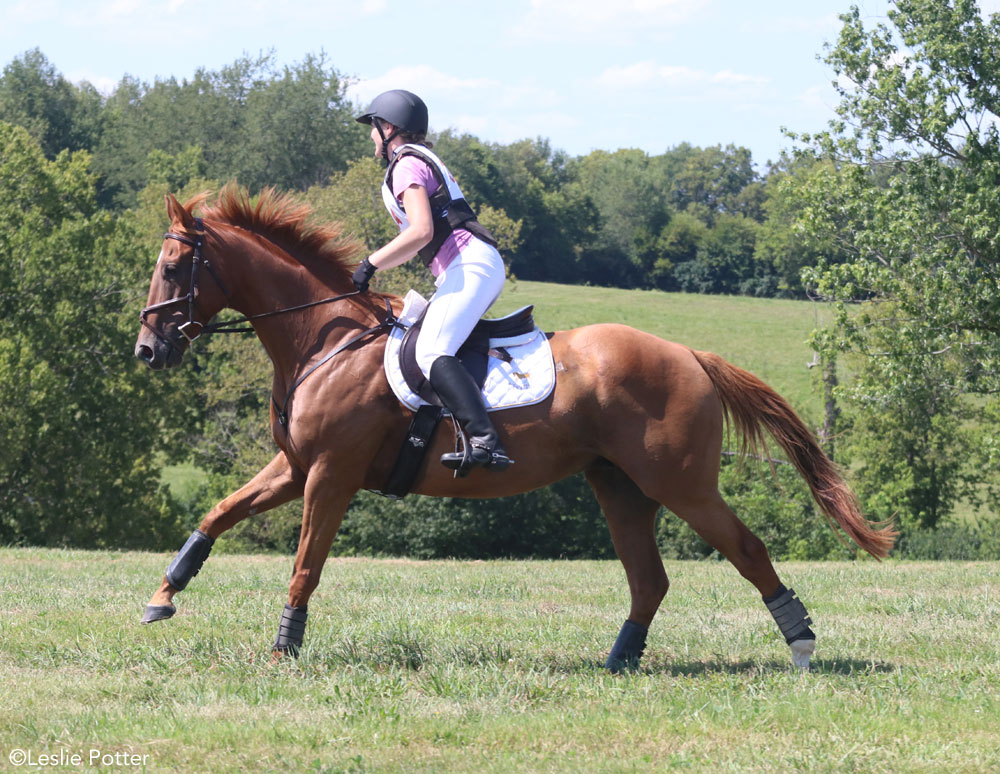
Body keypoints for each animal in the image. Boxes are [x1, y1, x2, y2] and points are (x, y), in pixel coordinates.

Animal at [135, 186, 900, 672]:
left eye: (172, 267)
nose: (146, 350)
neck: (327, 336)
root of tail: (689, 354)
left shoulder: (331, 473)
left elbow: (304, 564)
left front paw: (283, 649)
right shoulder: (297, 466)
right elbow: (218, 512)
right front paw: (163, 595)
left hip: (679, 483)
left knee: (745, 549)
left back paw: (801, 646)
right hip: (619, 486)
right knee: (649, 580)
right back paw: (618, 661)